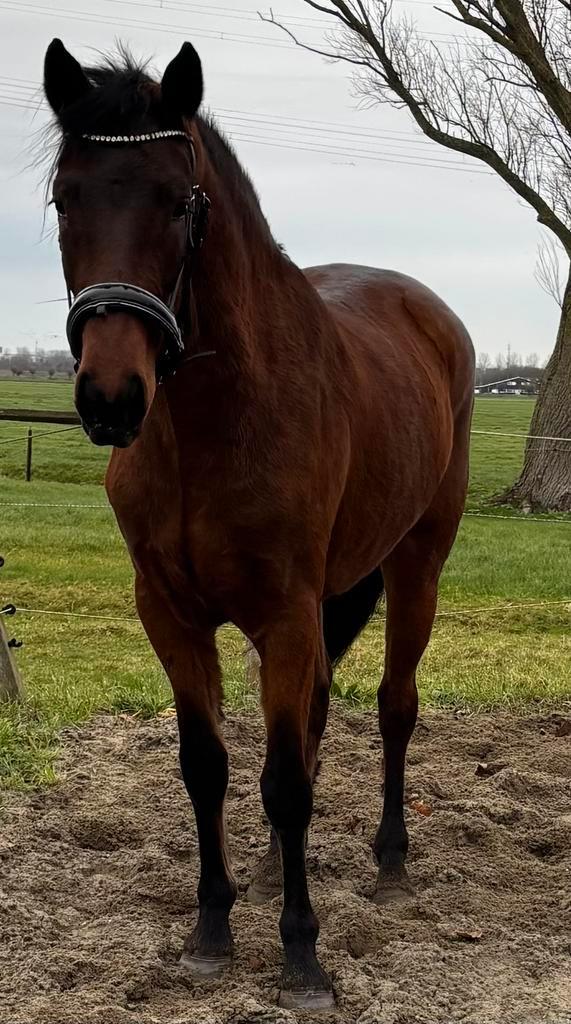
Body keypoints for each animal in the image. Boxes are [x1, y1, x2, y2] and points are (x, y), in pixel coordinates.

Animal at [43, 39, 474, 1010]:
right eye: (64, 197)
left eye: (179, 200)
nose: (111, 399)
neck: (211, 424)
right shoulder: (171, 614)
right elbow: (209, 767)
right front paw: (211, 929)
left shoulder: (282, 612)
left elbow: (282, 778)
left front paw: (302, 956)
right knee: (313, 716)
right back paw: (279, 864)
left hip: (416, 566)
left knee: (392, 707)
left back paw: (390, 863)